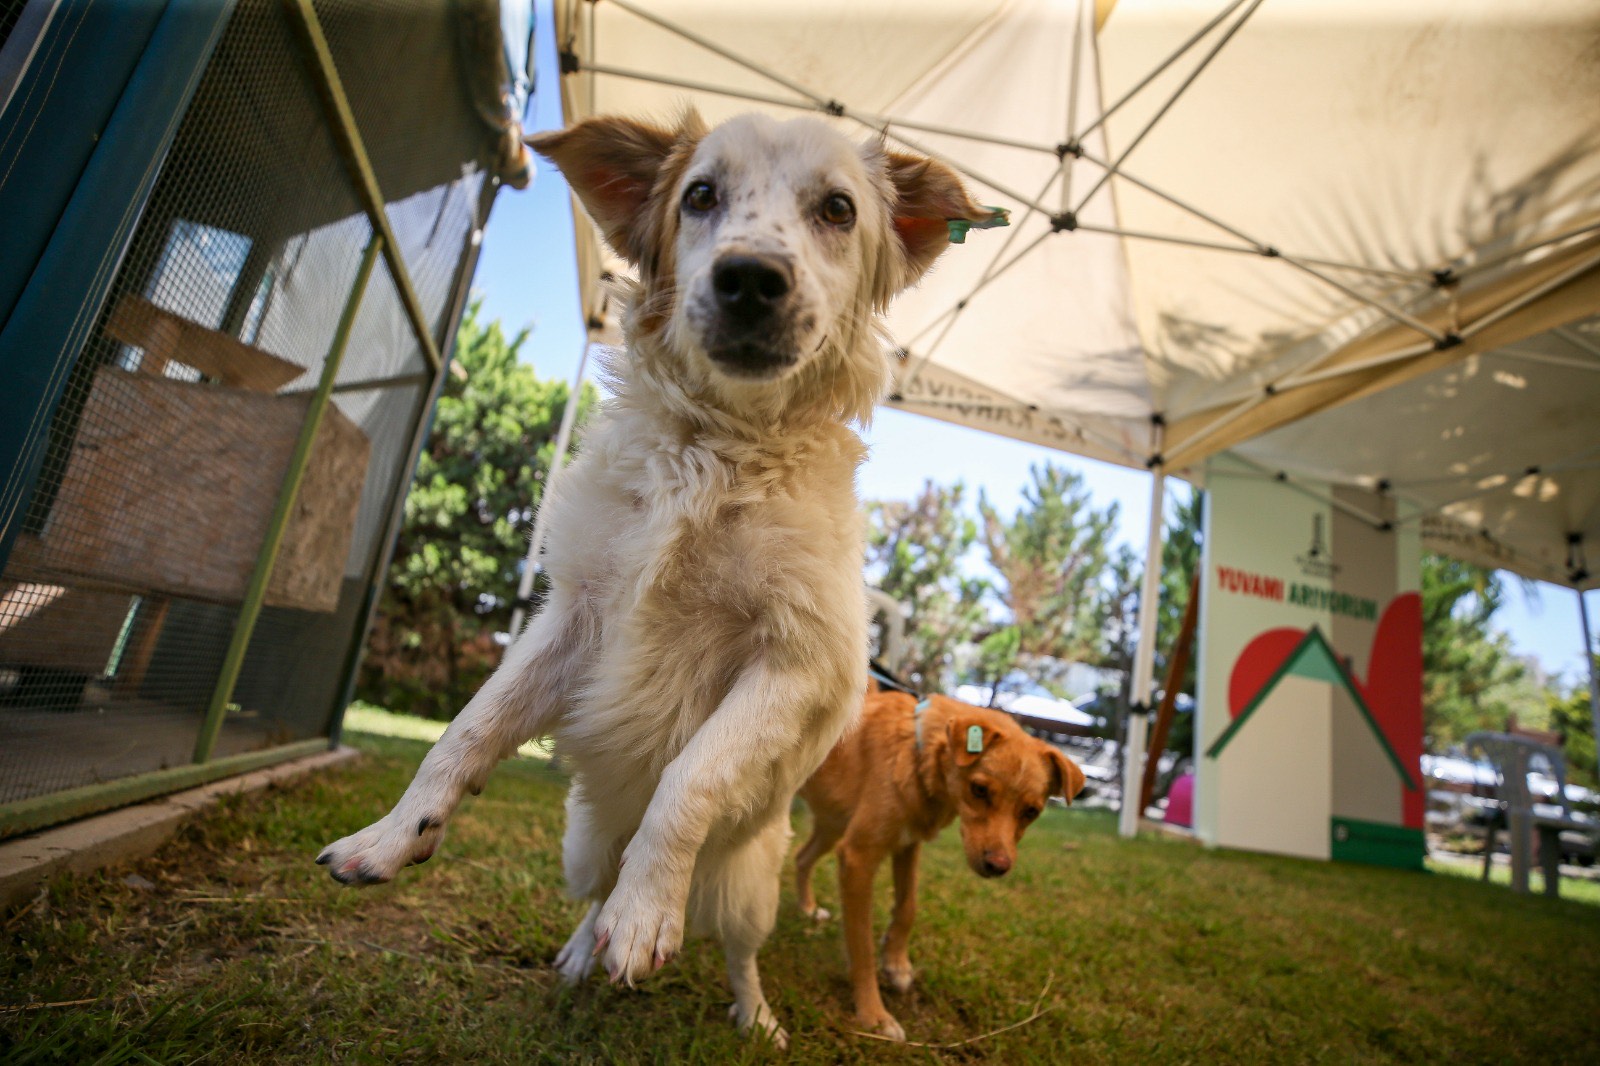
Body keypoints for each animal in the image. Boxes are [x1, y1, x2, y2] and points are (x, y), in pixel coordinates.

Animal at [315, 112, 985, 1043]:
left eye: (839, 209)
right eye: (699, 195)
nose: (750, 278)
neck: (721, 449)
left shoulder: (793, 663)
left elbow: (688, 775)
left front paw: (648, 913)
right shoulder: (577, 619)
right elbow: (465, 732)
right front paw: (387, 838)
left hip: (752, 884)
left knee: (736, 947)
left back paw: (754, 1015)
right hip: (583, 843)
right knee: (593, 893)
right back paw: (578, 956)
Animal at [793, 681, 1081, 1037]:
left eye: (1031, 811)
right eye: (979, 789)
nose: (997, 866)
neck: (915, 751)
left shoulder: (907, 845)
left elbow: (908, 907)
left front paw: (896, 964)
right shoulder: (858, 856)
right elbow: (861, 947)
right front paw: (873, 1013)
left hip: (831, 825)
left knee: (801, 858)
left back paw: (807, 908)